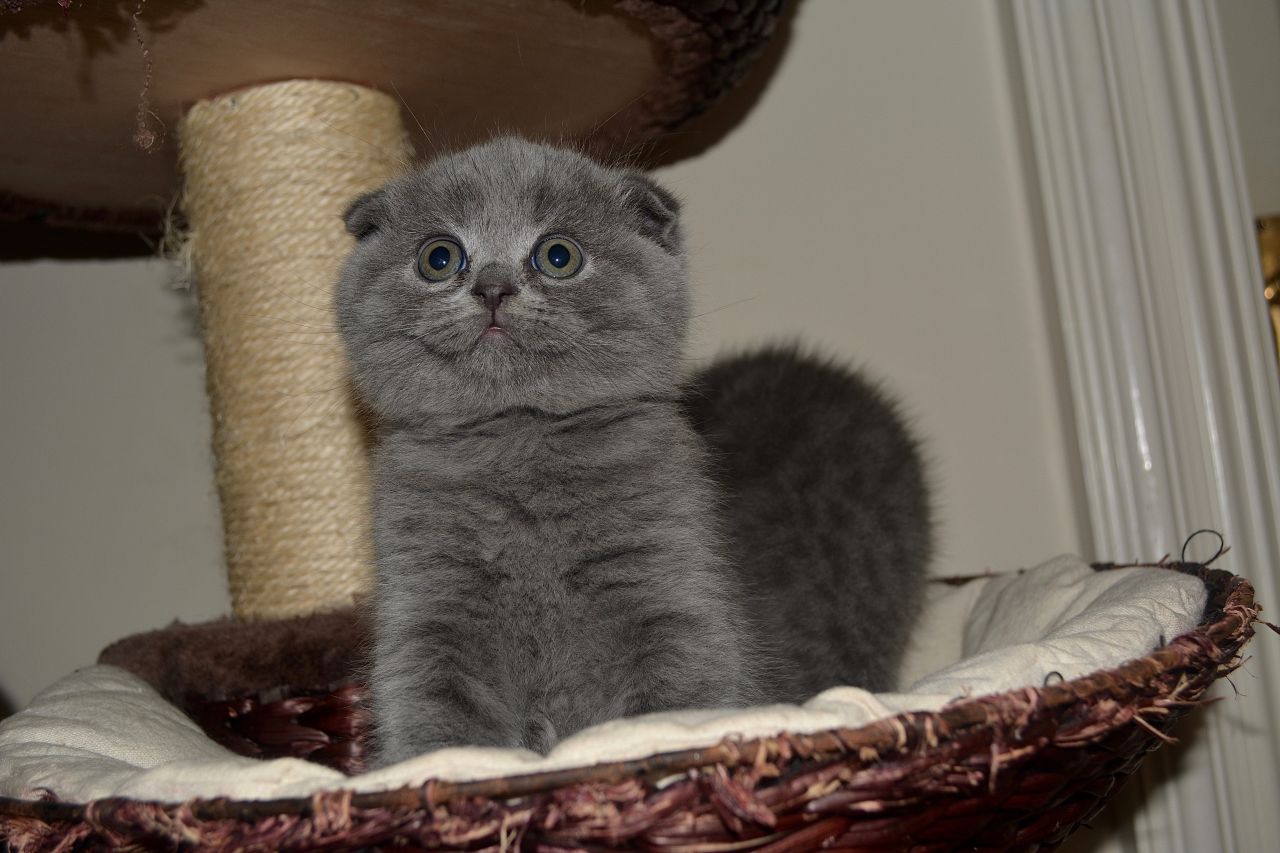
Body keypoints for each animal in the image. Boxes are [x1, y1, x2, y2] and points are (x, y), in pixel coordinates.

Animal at [340, 136, 757, 758]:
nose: (492, 286)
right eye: (439, 258)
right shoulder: (429, 607)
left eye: (558, 256)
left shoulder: (667, 589)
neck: (520, 436)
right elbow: (435, 710)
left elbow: (674, 692)